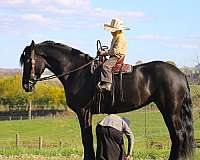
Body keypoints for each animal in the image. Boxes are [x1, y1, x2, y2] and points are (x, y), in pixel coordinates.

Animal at [19, 40, 194, 159]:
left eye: (28, 61)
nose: (26, 85)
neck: (78, 72)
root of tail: (180, 73)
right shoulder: (86, 113)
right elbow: (87, 138)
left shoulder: (84, 112)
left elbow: (87, 138)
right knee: (176, 136)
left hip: (170, 112)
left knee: (179, 135)